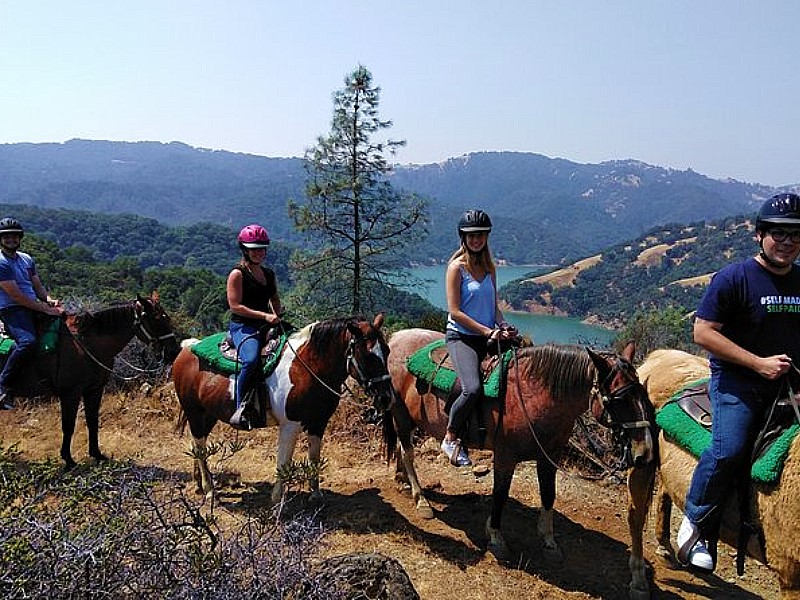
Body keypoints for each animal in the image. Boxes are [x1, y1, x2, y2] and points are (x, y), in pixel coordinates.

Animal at [0, 290, 178, 468]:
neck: (86, 344)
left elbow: (92, 421)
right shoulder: (71, 394)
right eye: (157, 319)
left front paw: (96, 454)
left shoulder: (95, 390)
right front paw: (68, 459)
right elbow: (68, 425)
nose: (173, 352)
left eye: (167, 318)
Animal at [173, 314, 394, 506]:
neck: (307, 368)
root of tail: (186, 349)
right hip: (194, 412)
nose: (387, 398)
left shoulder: (318, 423)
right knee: (200, 447)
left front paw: (316, 495)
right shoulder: (290, 426)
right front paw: (277, 501)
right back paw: (210, 490)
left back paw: (200, 484)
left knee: (198, 443)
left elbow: (314, 457)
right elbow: (283, 463)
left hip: (209, 414)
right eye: (368, 356)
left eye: (387, 351)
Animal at [384, 330, 652, 564]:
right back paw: (420, 499)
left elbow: (548, 494)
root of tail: (396, 338)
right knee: (407, 453)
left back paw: (402, 480)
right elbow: (500, 494)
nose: (645, 453)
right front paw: (496, 537)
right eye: (619, 400)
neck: (535, 394)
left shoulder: (549, 457)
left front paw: (548, 541)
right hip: (400, 413)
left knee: (401, 450)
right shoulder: (505, 456)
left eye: (644, 394)